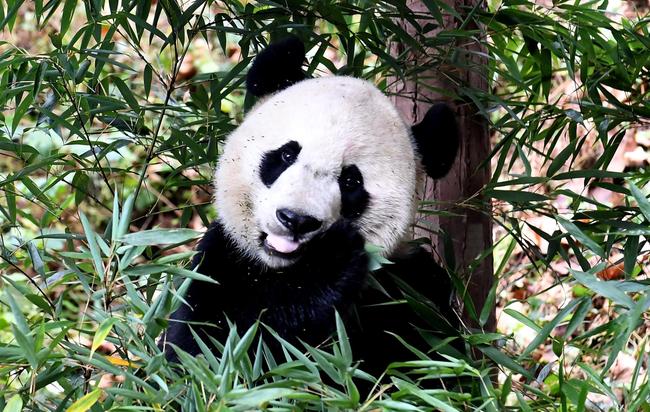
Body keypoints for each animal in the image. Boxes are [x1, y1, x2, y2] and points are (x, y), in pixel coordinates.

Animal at [162, 36, 460, 376]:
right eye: (286, 155)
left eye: (350, 181)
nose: (296, 219)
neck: (282, 269)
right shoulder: (220, 264)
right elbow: (212, 355)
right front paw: (332, 260)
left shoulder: (413, 291)